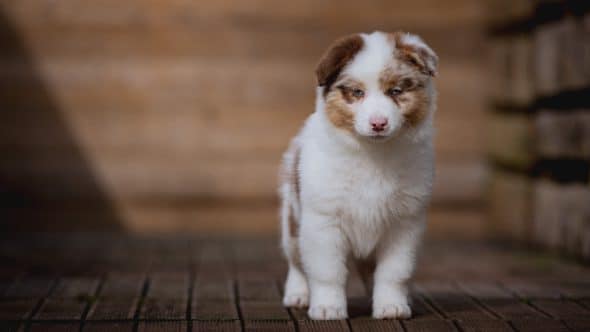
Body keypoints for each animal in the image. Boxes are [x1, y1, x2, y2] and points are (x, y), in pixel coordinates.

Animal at [278, 31, 440, 320]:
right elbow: (327, 272)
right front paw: (328, 308)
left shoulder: (403, 224)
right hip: (292, 220)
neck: (372, 153)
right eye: (357, 92)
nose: (379, 124)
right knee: (296, 261)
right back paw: (298, 295)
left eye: (395, 91)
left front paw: (391, 306)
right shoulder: (323, 222)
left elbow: (394, 272)